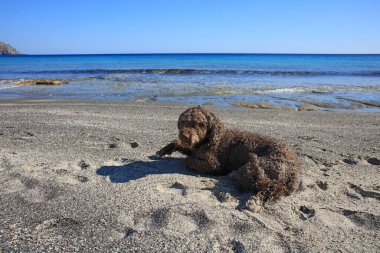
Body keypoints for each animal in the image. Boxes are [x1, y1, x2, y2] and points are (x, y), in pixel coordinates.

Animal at [156, 105, 302, 203]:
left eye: (199, 124)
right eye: (183, 121)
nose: (185, 136)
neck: (209, 138)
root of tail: (294, 174)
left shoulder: (213, 164)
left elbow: (189, 160)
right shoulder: (192, 147)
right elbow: (177, 144)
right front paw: (164, 150)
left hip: (255, 166)